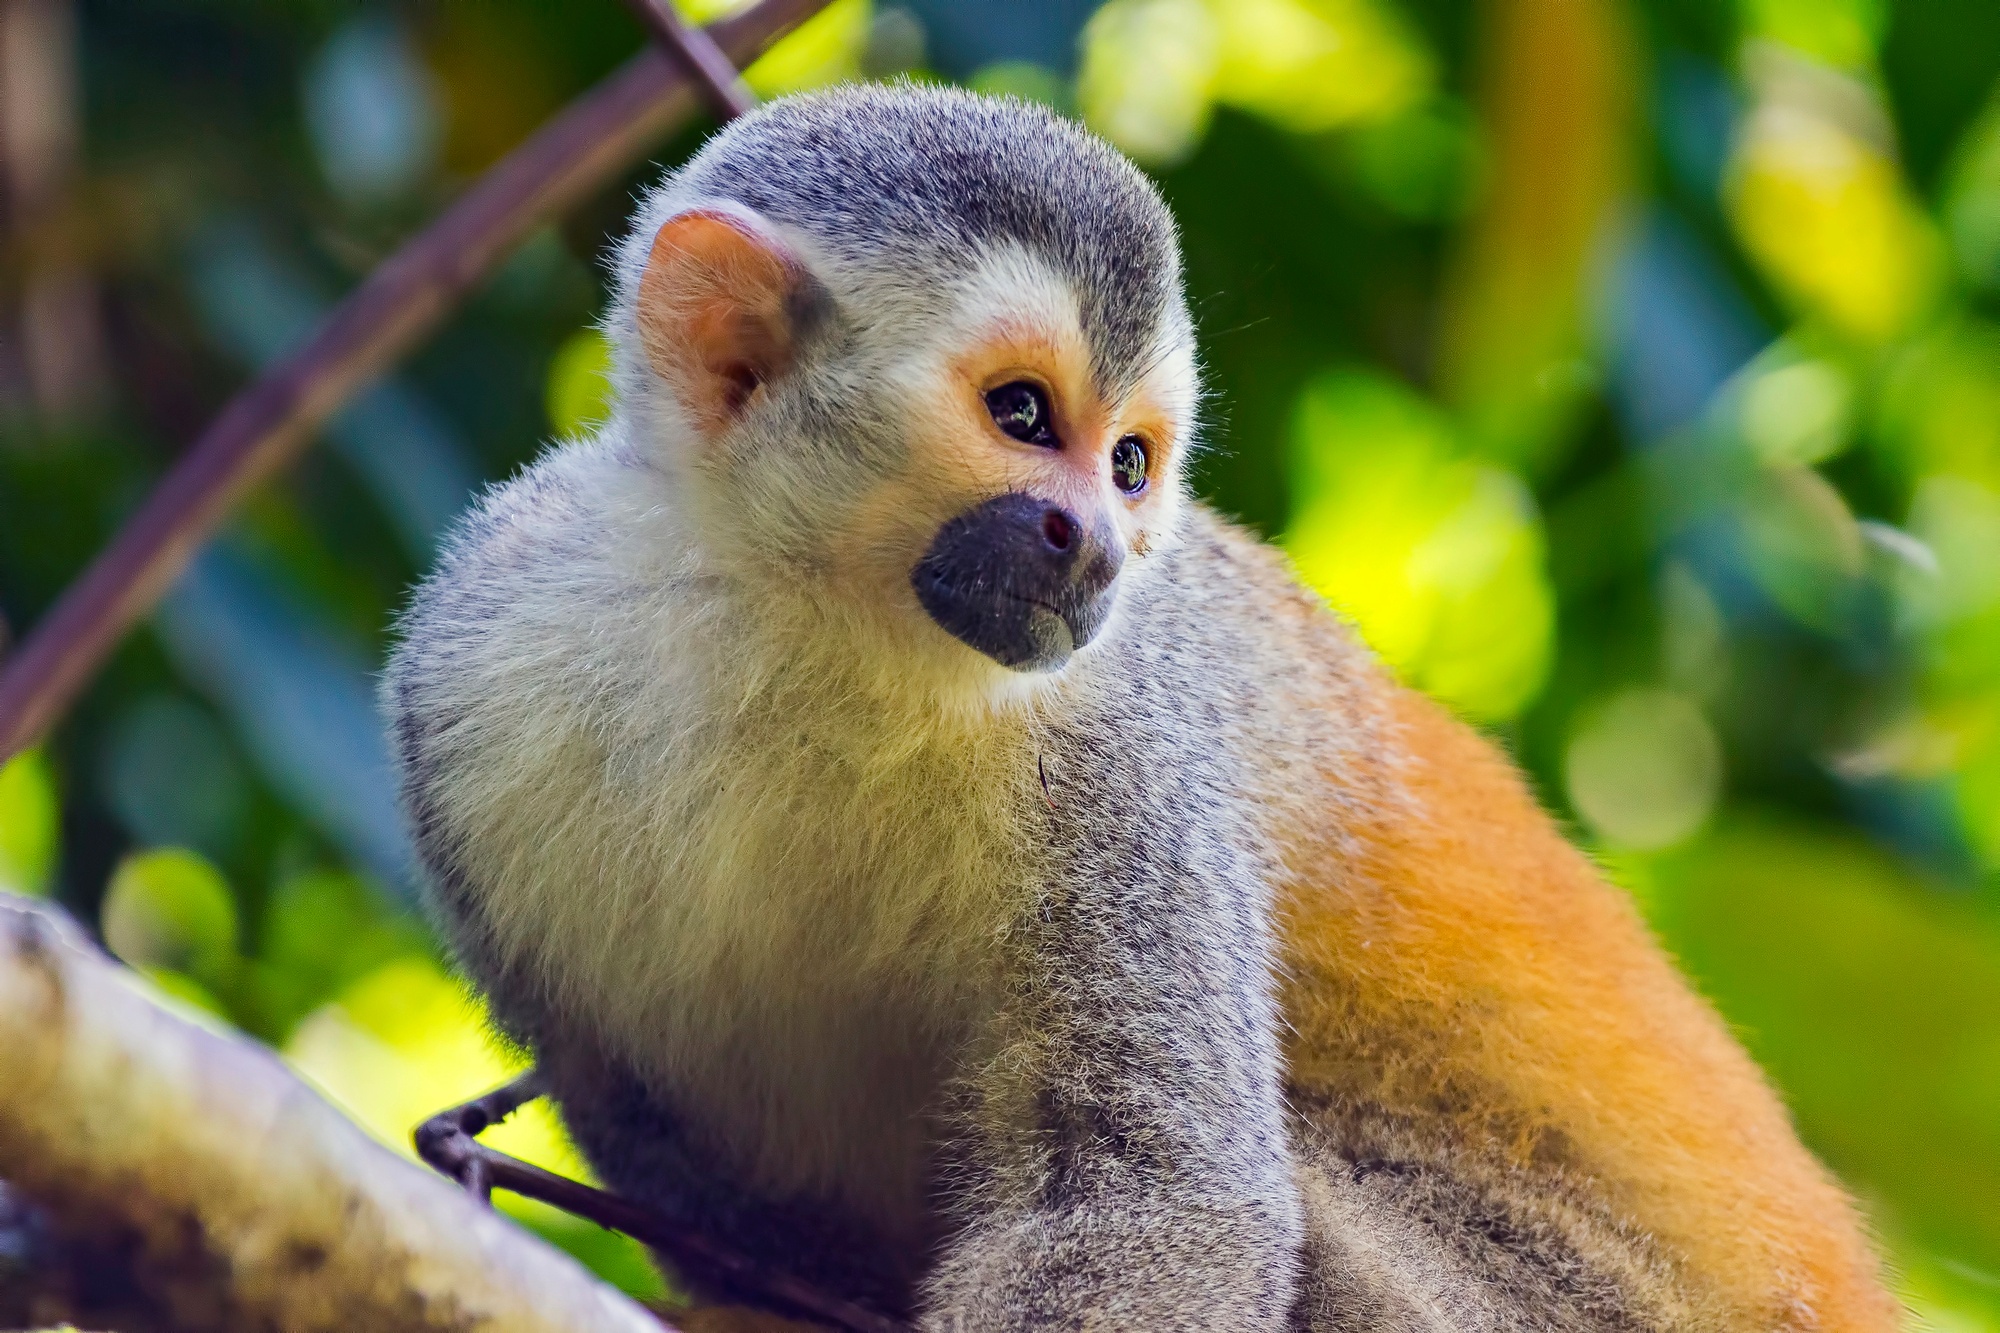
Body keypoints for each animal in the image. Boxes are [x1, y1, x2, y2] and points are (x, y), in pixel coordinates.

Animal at [383, 84, 1899, 1332]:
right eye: (1020, 415)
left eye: (1128, 462)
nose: (1103, 550)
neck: (800, 625)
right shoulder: (465, 670)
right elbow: (701, 1179)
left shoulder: (1119, 752)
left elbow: (1149, 1192)